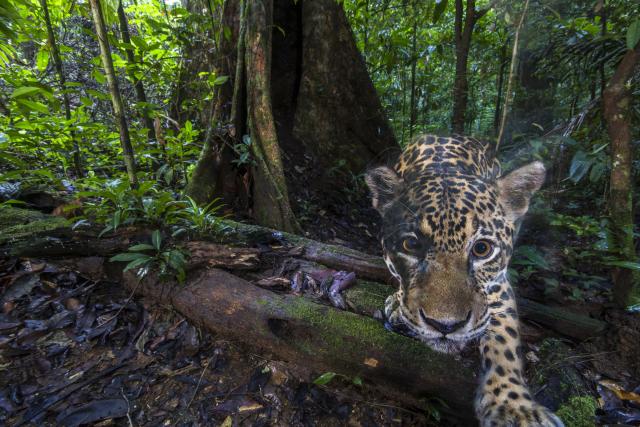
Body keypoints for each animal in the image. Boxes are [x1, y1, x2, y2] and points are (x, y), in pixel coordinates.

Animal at [365, 134, 564, 427]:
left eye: (482, 249)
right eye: (411, 245)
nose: (446, 326)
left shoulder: (497, 286)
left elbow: (504, 340)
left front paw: (515, 409)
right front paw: (398, 305)